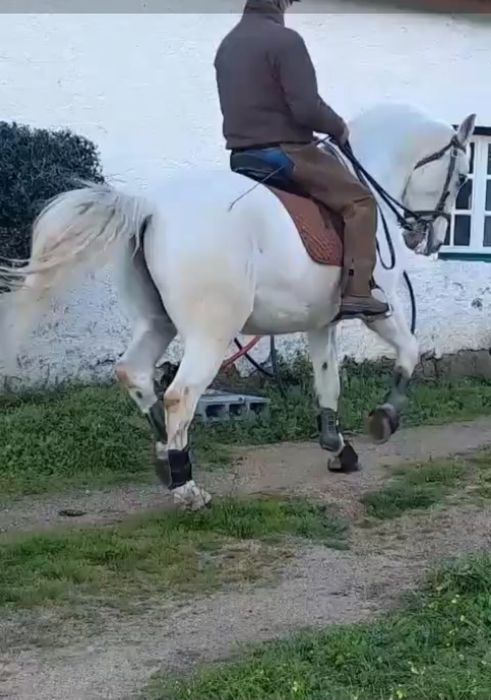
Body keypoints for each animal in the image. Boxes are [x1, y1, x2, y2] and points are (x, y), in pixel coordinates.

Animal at [0, 101, 475, 511]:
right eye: (463, 179)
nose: (429, 239)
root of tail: (150, 209)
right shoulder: (384, 310)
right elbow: (409, 351)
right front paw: (384, 419)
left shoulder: (321, 323)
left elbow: (328, 384)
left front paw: (339, 449)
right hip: (211, 332)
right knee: (180, 396)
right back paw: (187, 487)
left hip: (158, 322)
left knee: (133, 373)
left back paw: (165, 462)